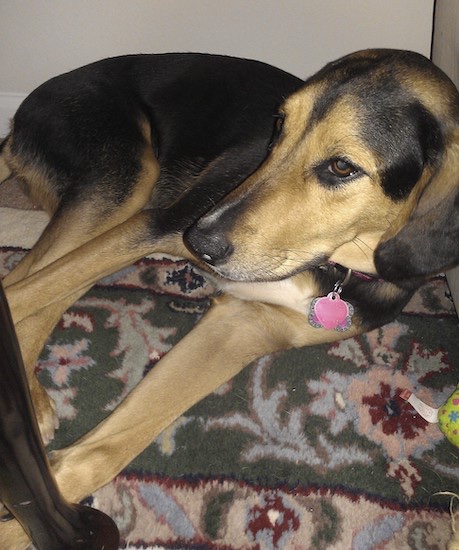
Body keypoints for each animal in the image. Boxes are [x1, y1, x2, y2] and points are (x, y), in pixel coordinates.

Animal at [0, 50, 459, 548]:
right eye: (278, 125)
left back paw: (32, 403)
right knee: (23, 283)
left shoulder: (245, 326)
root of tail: (18, 117)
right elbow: (20, 295)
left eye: (342, 167)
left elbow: (102, 453)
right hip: (125, 184)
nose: (200, 241)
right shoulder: (158, 224)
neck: (330, 266)